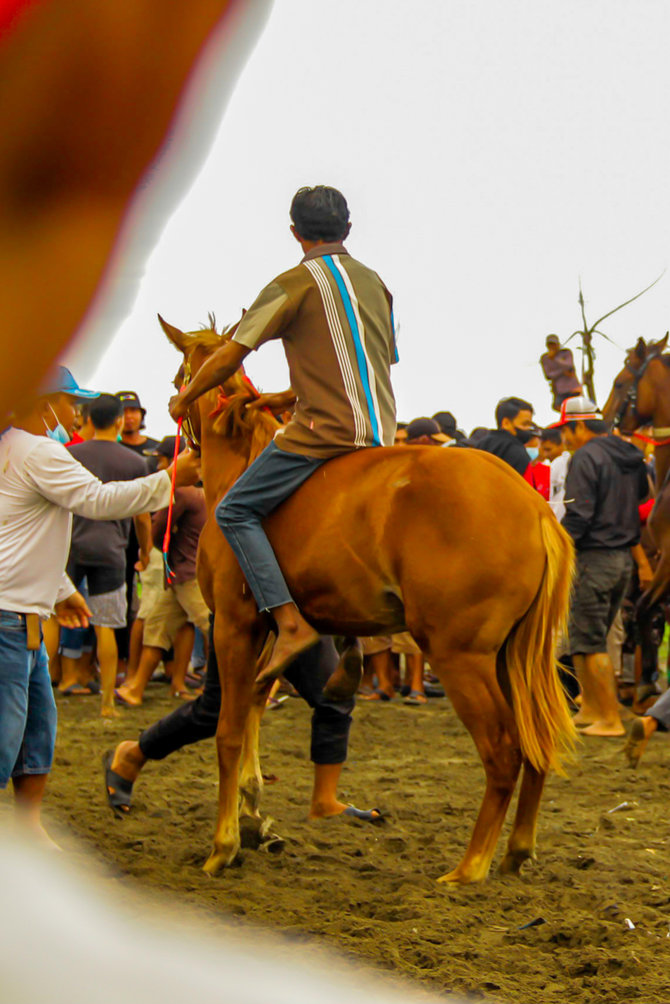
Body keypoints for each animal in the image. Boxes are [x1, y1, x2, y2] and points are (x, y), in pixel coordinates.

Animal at [160, 317, 578, 883]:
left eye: (180, 375)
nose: (177, 420)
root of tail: (534, 506)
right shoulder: (263, 633)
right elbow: (254, 709)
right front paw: (251, 813)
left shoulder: (232, 624)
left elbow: (228, 729)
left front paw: (224, 843)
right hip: (510, 658)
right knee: (535, 745)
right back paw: (515, 850)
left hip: (461, 658)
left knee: (503, 750)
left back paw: (470, 865)